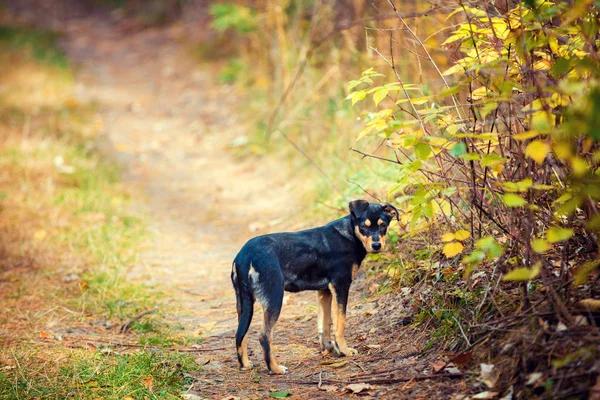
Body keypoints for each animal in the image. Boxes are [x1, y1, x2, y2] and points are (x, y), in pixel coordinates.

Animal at [231, 200, 398, 376]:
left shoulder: (325, 291)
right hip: (274, 297)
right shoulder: (340, 285)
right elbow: (340, 322)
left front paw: (330, 348)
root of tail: (244, 257)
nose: (376, 245)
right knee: (264, 336)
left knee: (240, 334)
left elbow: (325, 323)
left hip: (243, 303)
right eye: (364, 226)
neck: (350, 234)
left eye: (383, 225)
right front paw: (345, 351)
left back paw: (245, 364)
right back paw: (275, 368)